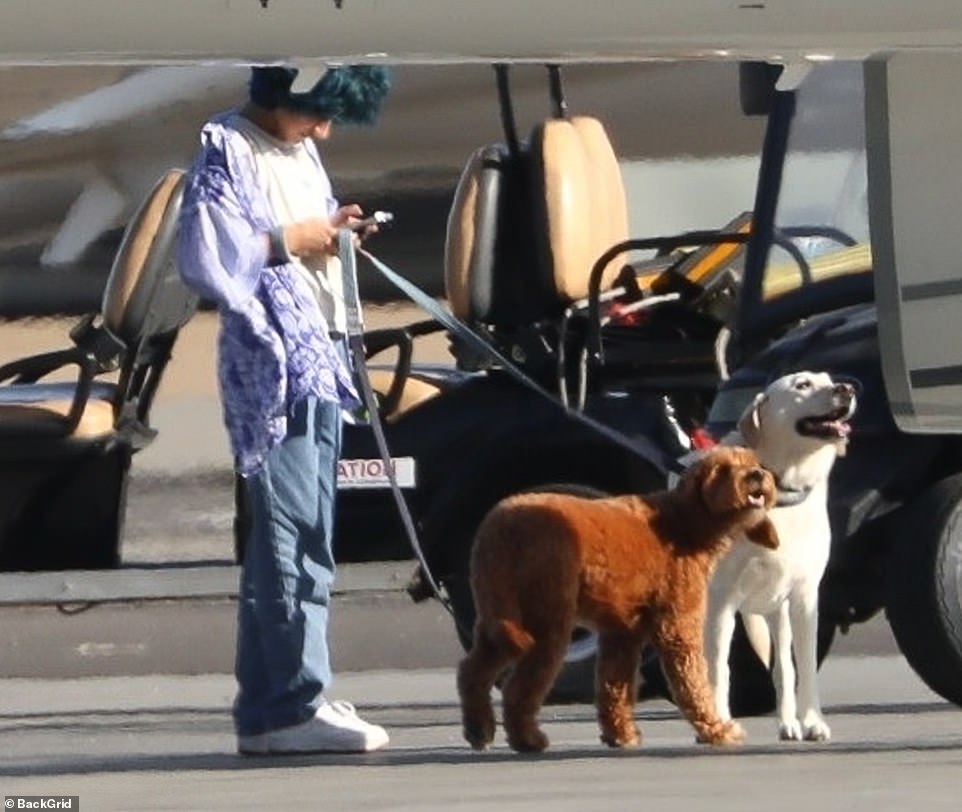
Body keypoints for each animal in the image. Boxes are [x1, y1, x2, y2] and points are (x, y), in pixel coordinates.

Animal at [454, 444, 776, 756]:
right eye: (723, 469)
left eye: (752, 462)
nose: (757, 475)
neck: (683, 522)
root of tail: (497, 527)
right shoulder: (677, 625)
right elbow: (692, 682)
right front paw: (717, 730)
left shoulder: (623, 632)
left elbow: (614, 687)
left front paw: (621, 734)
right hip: (545, 615)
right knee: (517, 688)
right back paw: (527, 740)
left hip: (497, 610)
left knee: (472, 671)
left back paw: (479, 729)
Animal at [700, 372, 852, 740]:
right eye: (803, 385)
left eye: (828, 378)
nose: (848, 389)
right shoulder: (722, 599)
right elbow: (719, 669)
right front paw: (720, 722)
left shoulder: (805, 597)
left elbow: (804, 666)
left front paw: (812, 721)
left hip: (776, 612)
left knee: (783, 667)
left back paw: (788, 723)